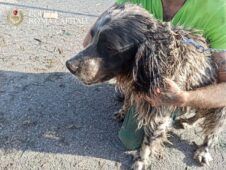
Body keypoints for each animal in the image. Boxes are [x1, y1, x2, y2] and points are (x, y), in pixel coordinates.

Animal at [66, 3, 226, 169]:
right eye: (92, 35)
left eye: (109, 47)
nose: (70, 65)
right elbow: (128, 99)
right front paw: (123, 112)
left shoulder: (160, 110)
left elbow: (148, 143)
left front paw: (140, 161)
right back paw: (188, 122)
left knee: (213, 129)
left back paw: (203, 150)